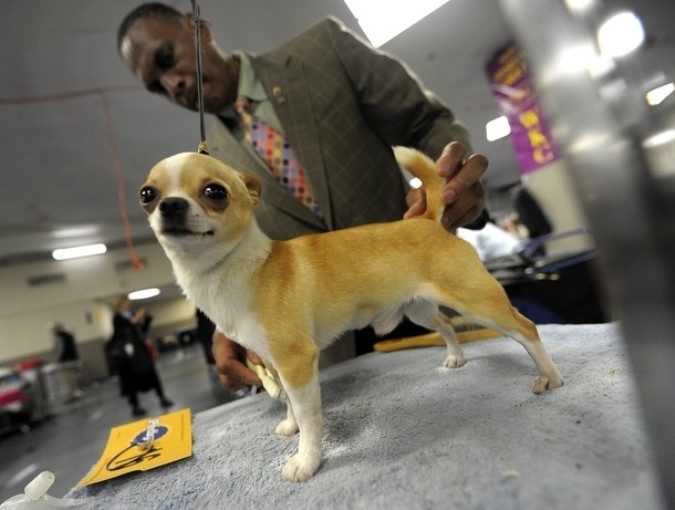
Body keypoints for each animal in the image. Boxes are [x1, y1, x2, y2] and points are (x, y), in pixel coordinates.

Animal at [140, 146, 564, 482]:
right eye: (148, 194)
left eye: (215, 192)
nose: (170, 205)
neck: (230, 270)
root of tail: (426, 219)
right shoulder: (275, 362)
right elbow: (289, 402)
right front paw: (290, 425)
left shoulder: (296, 361)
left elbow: (311, 418)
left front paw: (307, 461)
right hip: (419, 310)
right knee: (445, 324)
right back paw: (455, 358)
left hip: (476, 299)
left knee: (526, 328)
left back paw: (549, 376)